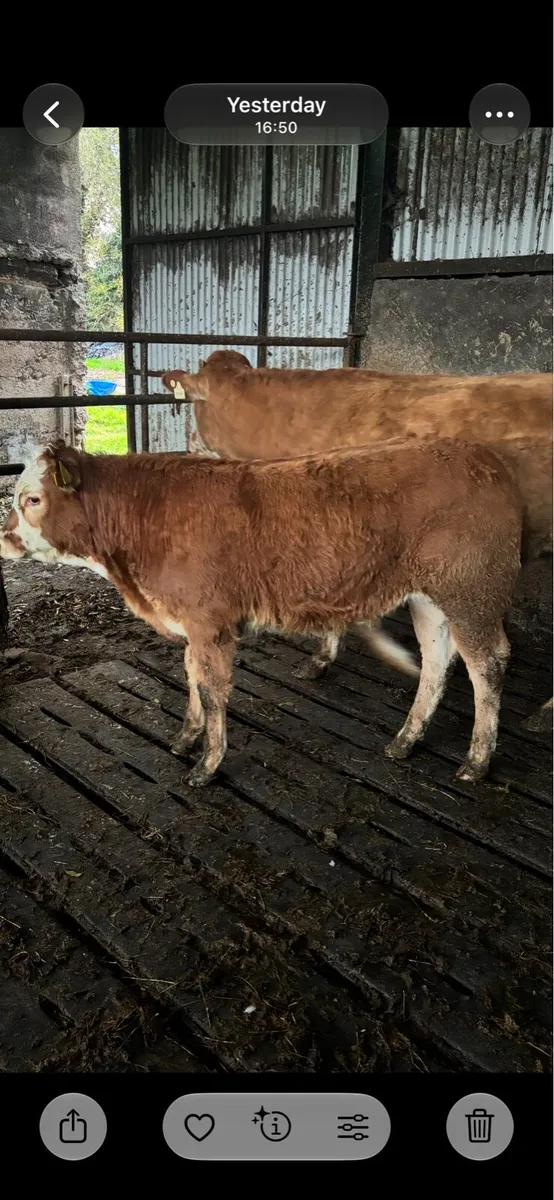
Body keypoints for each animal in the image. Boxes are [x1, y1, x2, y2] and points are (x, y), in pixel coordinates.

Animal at [1, 438, 524, 789]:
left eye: (32, 499)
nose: (4, 539)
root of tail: (478, 456)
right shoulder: (194, 626)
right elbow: (191, 676)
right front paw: (185, 737)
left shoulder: (209, 623)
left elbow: (211, 690)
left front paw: (207, 765)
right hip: (429, 597)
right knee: (437, 661)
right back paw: (406, 740)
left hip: (471, 591)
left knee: (486, 664)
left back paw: (477, 760)